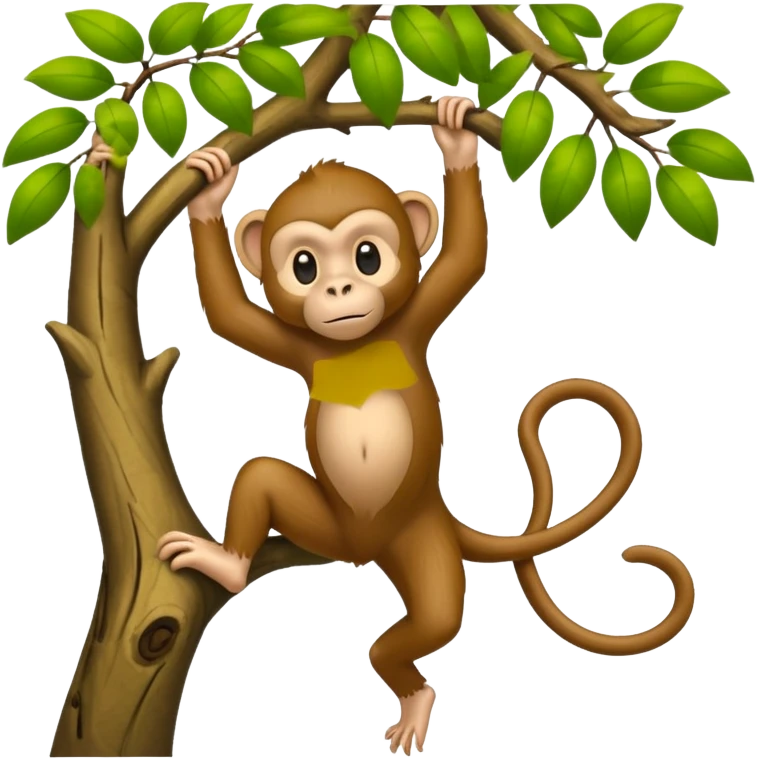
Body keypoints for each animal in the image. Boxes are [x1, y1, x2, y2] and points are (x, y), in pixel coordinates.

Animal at [156, 96, 695, 756]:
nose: (339, 287)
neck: (359, 343)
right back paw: (230, 564)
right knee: (260, 476)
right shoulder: (296, 343)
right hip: (330, 526)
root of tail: (370, 544)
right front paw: (209, 189)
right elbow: (229, 314)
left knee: (431, 619)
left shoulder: (414, 320)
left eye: (367, 256)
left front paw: (456, 134)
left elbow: (464, 255)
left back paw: (414, 697)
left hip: (419, 540)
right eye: (304, 266)